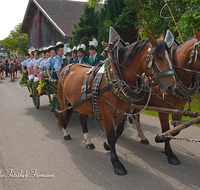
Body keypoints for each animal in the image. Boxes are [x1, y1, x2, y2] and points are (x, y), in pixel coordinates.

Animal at [57, 32, 176, 175]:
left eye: (170, 57)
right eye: (159, 57)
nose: (171, 86)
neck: (116, 76)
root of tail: (67, 67)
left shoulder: (122, 112)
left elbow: (118, 132)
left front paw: (107, 145)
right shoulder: (107, 114)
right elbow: (111, 136)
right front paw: (116, 163)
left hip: (82, 103)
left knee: (83, 120)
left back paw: (88, 141)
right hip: (63, 101)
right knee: (63, 116)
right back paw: (66, 134)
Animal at [131, 28, 200, 165]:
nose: (170, 87)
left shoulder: (178, 109)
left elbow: (176, 130)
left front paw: (162, 141)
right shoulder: (162, 109)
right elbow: (165, 129)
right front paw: (169, 152)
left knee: (135, 116)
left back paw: (142, 136)